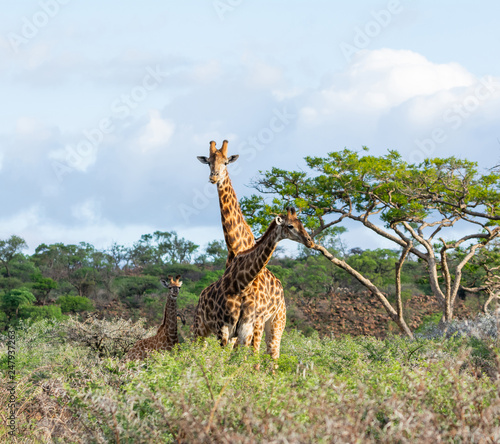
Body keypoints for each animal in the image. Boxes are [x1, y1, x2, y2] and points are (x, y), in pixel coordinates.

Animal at [191, 206, 312, 356]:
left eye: (301, 223)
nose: (309, 241)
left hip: (275, 323)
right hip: (200, 329)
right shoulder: (224, 329)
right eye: (290, 226)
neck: (241, 284)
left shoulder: (246, 329)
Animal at [196, 140, 288, 360]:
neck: (236, 247)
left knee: (272, 356)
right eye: (208, 161)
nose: (214, 177)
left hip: (276, 322)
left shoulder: (253, 319)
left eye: (226, 162)